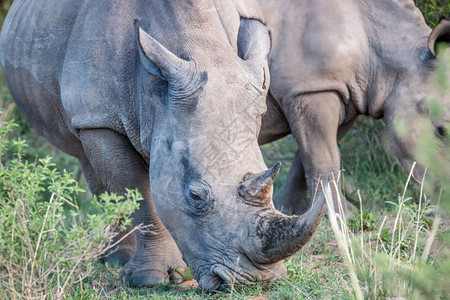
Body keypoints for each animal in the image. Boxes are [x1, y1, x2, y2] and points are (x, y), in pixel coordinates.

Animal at [0, 0, 326, 290]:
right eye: (195, 196)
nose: (256, 280)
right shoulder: (99, 117)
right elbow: (137, 194)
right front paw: (149, 279)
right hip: (84, 113)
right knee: (90, 161)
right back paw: (116, 260)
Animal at [258, 0, 448, 214]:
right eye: (441, 131)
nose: (447, 198)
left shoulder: (343, 95)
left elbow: (307, 156)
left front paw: (289, 209)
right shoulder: (310, 89)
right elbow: (323, 156)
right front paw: (342, 215)